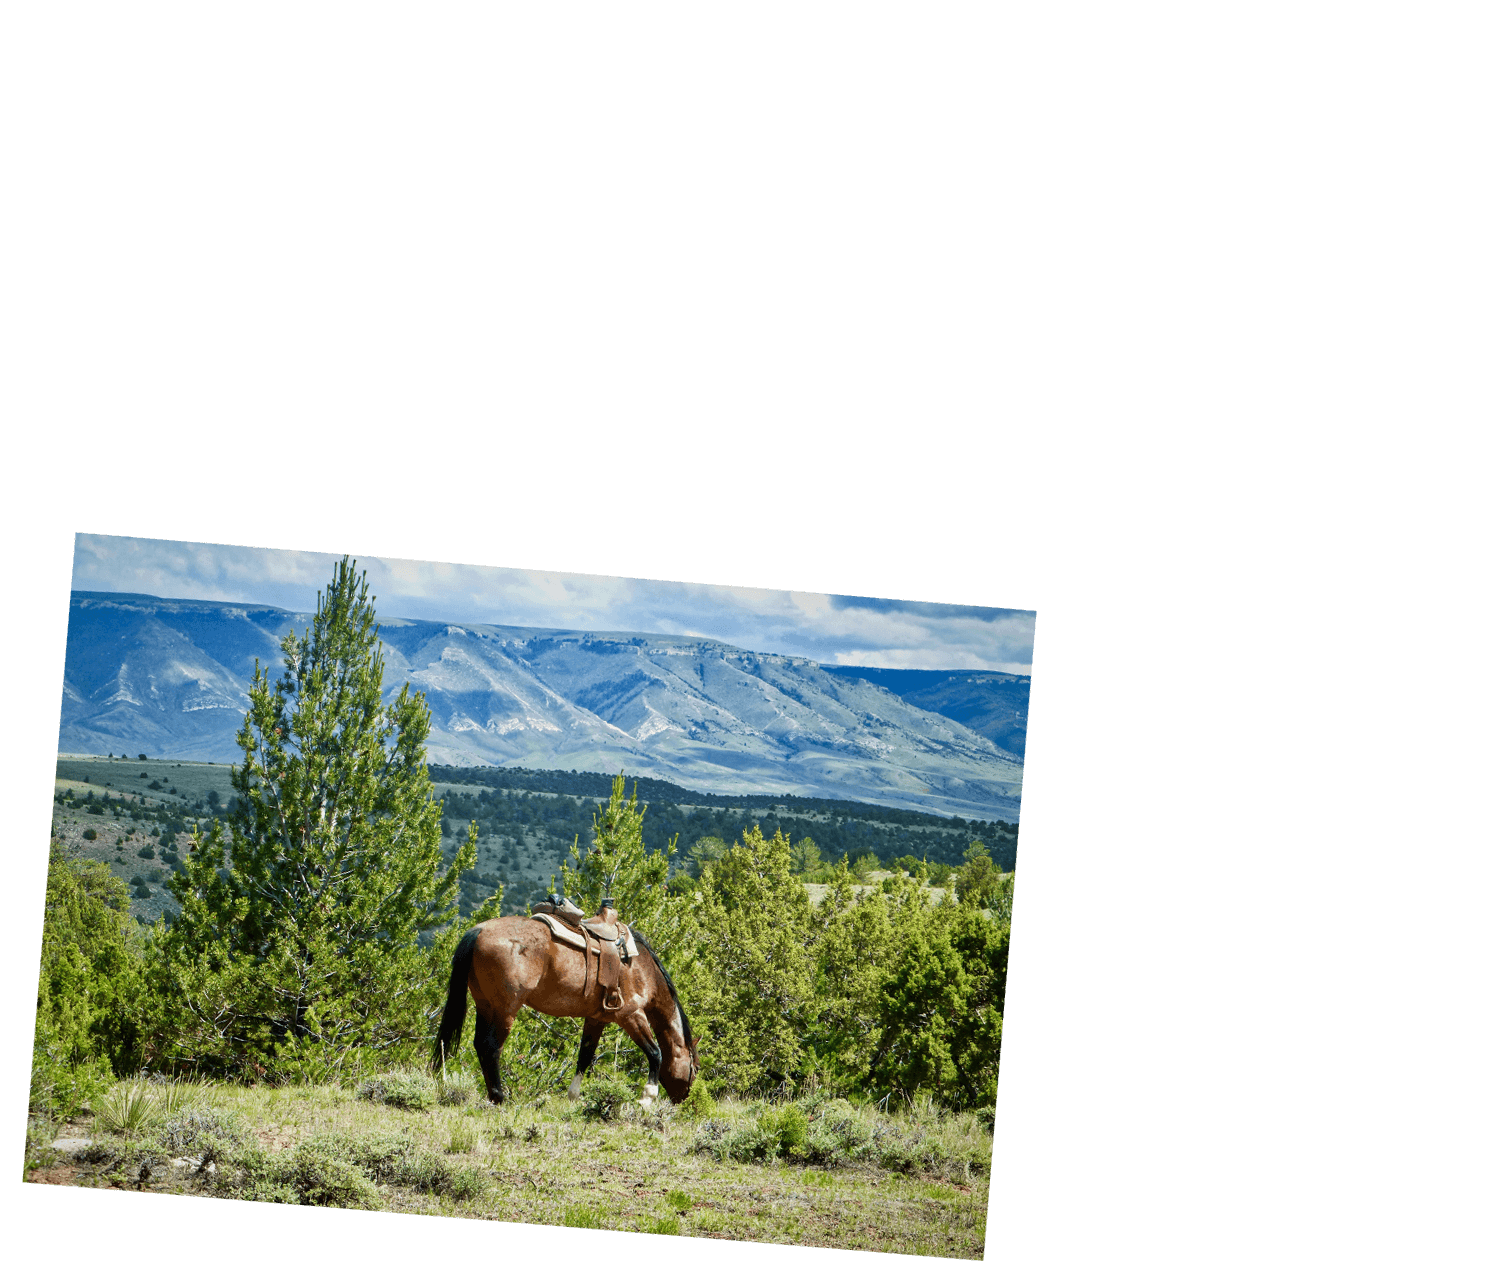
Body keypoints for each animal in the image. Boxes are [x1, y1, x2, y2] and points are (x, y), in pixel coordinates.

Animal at [432, 913, 700, 1109]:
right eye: (694, 1068)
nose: (683, 1100)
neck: (641, 968)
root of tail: (479, 931)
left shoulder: (596, 1019)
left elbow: (585, 1056)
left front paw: (573, 1096)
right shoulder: (631, 1015)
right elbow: (655, 1053)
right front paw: (647, 1098)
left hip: (485, 1006)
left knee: (480, 1045)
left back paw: (493, 1096)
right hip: (504, 1010)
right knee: (491, 1048)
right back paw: (500, 1097)